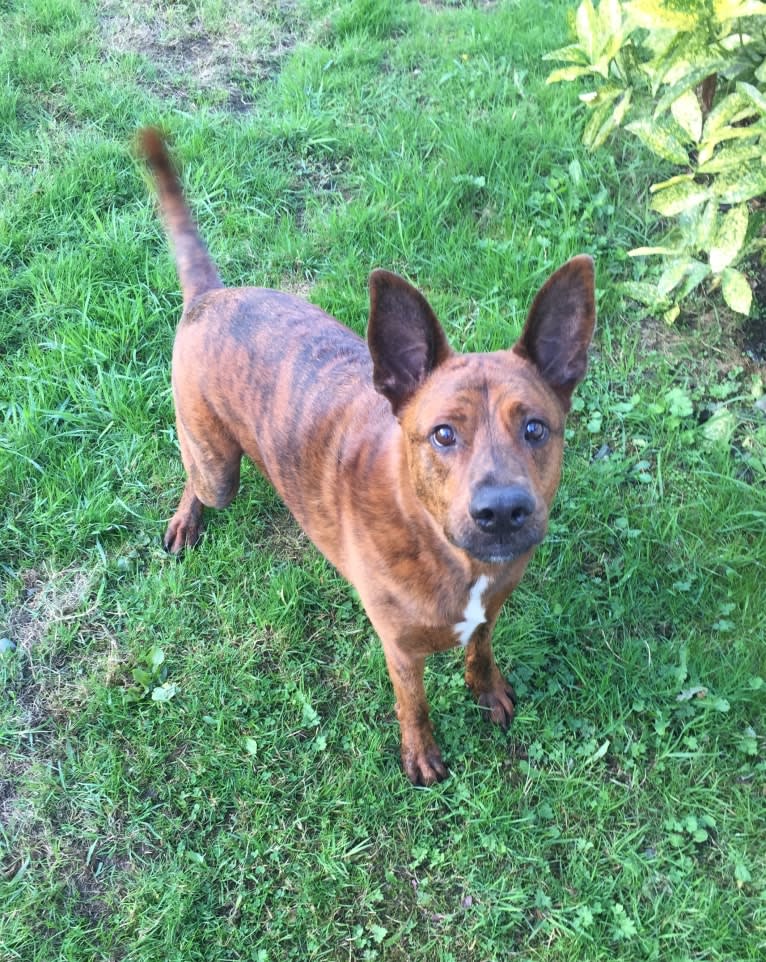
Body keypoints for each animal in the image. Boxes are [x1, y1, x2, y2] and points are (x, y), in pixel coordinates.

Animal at [140, 127, 600, 784]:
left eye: (536, 428)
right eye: (443, 434)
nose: (502, 512)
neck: (441, 545)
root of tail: (211, 294)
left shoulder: (489, 613)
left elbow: (481, 652)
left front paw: (486, 689)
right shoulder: (399, 647)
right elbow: (414, 703)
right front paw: (420, 753)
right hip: (216, 467)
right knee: (197, 479)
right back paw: (186, 521)